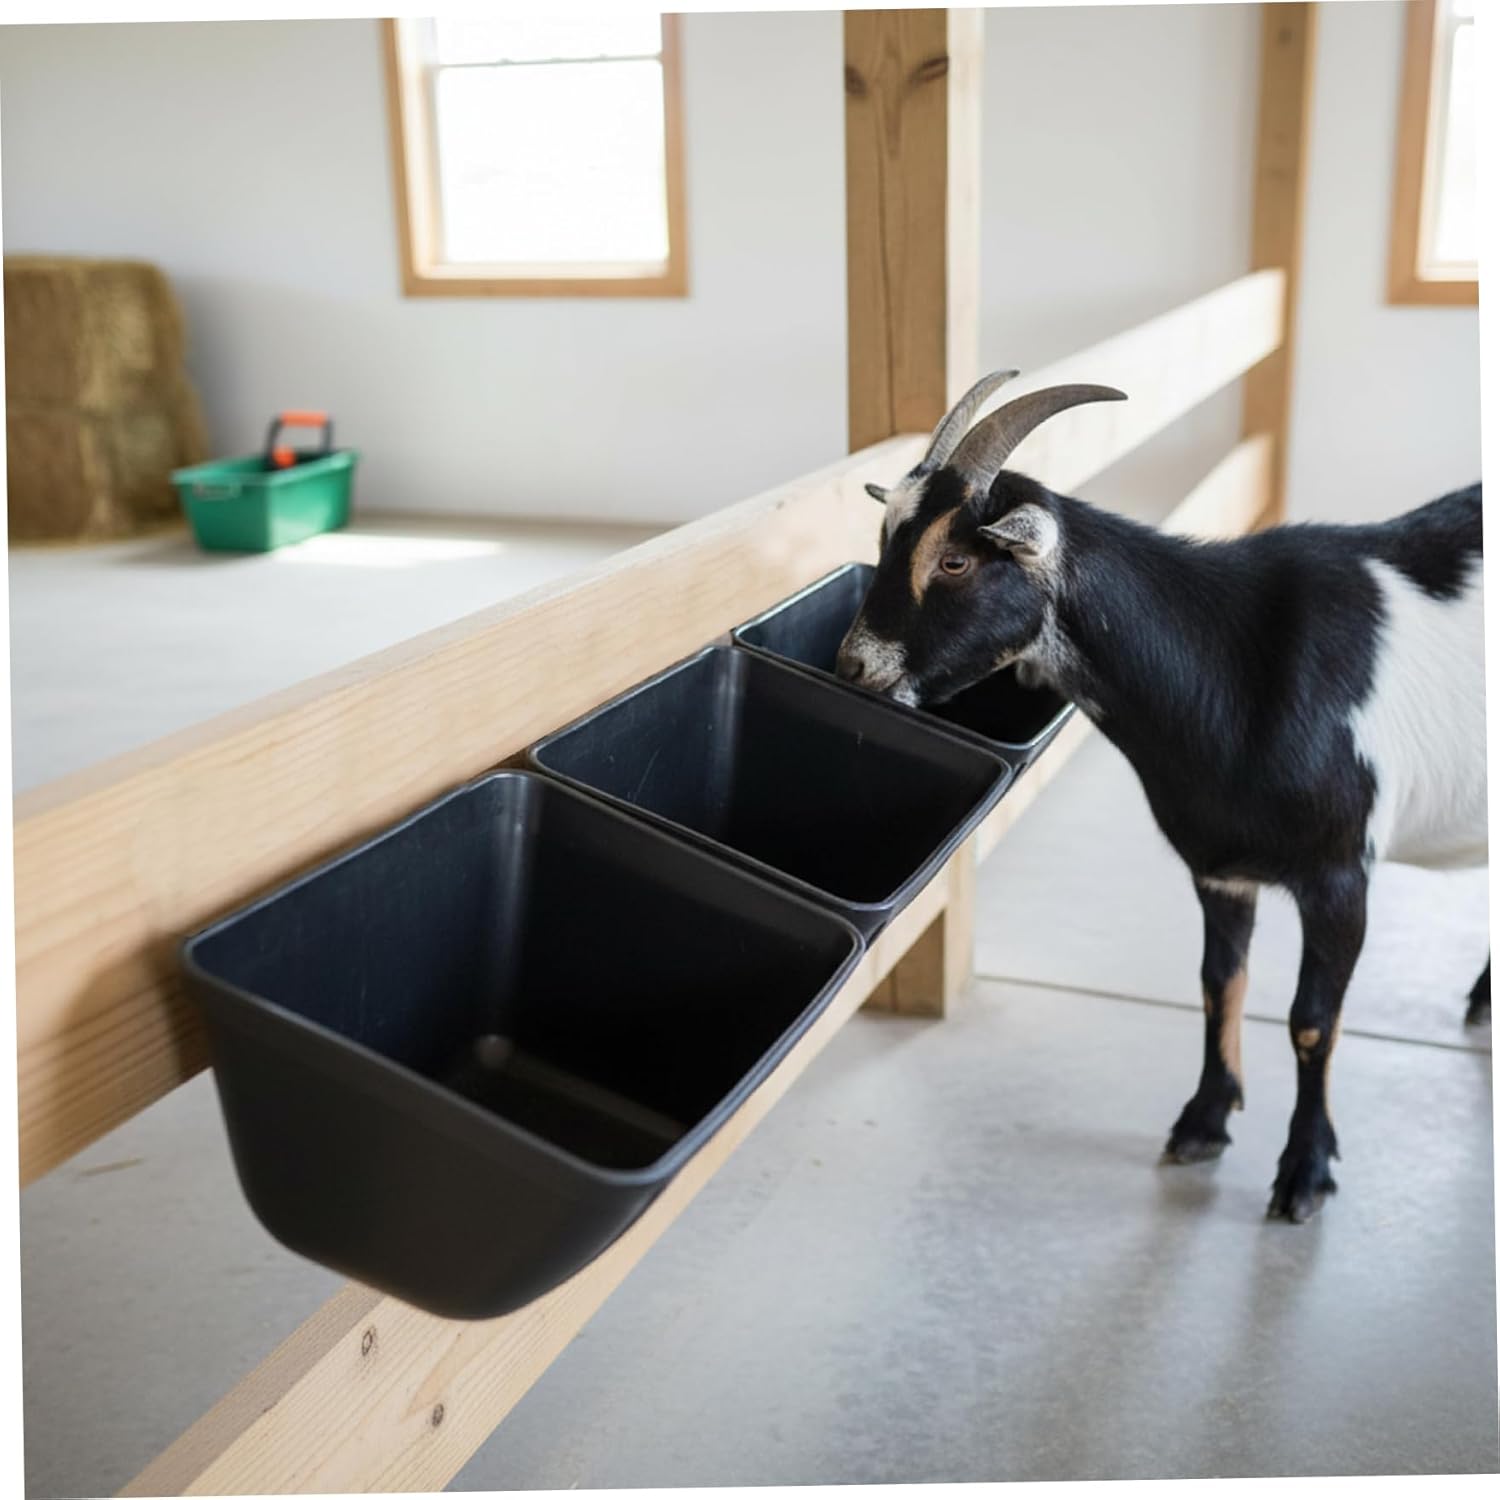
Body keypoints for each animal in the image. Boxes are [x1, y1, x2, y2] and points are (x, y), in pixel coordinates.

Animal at [837, 371, 1488, 1223]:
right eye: (887, 538)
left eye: (953, 560)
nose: (854, 666)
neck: (1240, 668)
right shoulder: (1220, 867)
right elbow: (1218, 985)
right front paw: (1204, 1123)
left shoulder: (1342, 872)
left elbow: (1313, 1024)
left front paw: (1305, 1173)